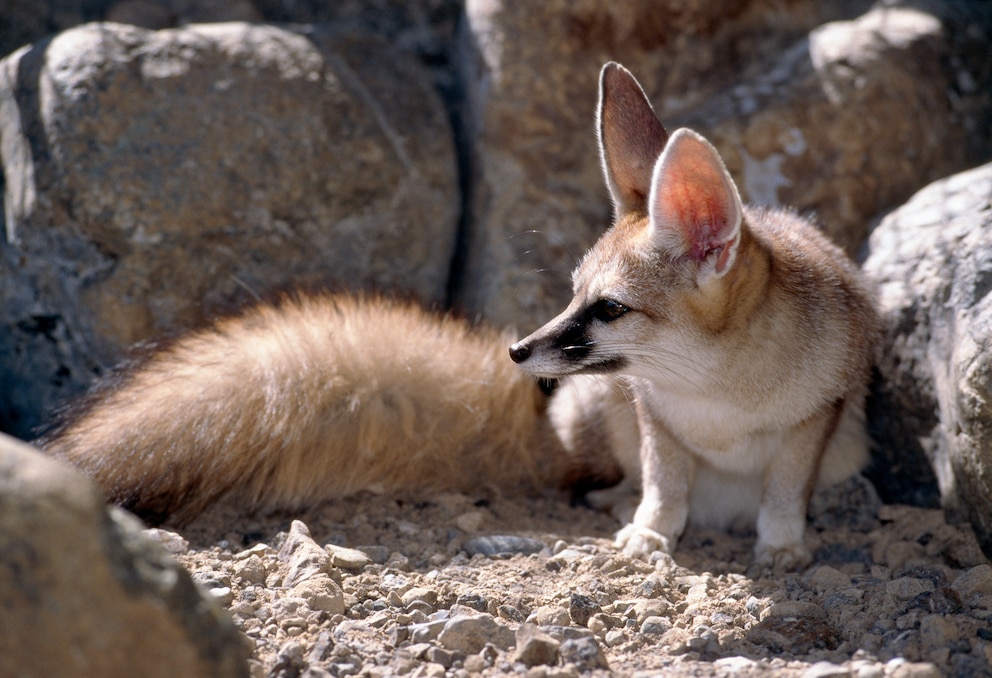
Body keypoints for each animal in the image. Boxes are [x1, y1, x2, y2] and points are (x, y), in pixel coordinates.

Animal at [512, 62, 876, 568]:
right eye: (572, 294)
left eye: (610, 308)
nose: (516, 350)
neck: (717, 397)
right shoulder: (654, 421)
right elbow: (663, 485)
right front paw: (651, 532)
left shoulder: (816, 421)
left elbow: (783, 493)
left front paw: (782, 543)